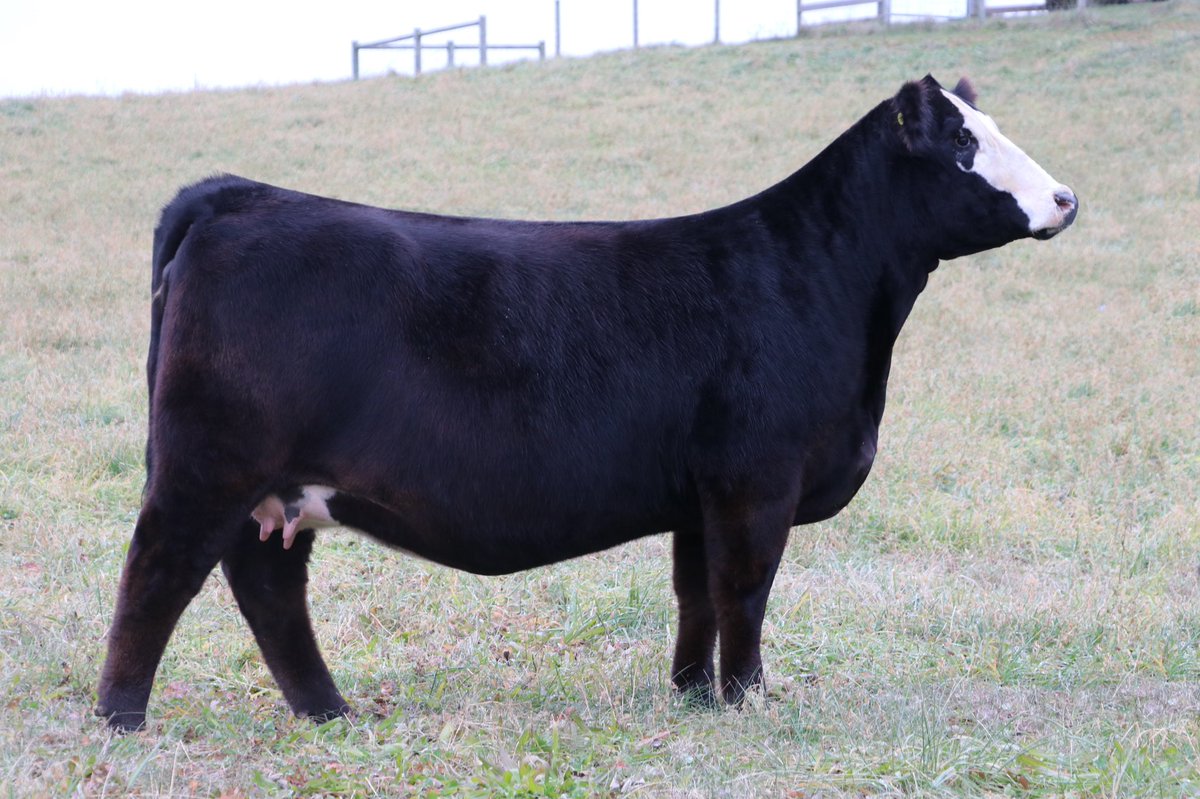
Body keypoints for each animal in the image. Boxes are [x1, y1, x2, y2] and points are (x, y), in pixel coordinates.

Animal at [96, 75, 1077, 731]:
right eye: (963, 146)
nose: (1066, 198)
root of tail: (241, 196)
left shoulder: (700, 493)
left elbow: (696, 591)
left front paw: (693, 692)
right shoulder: (757, 479)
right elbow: (745, 588)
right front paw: (748, 697)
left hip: (277, 485)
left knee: (266, 587)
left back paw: (328, 710)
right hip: (207, 463)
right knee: (158, 571)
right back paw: (121, 717)